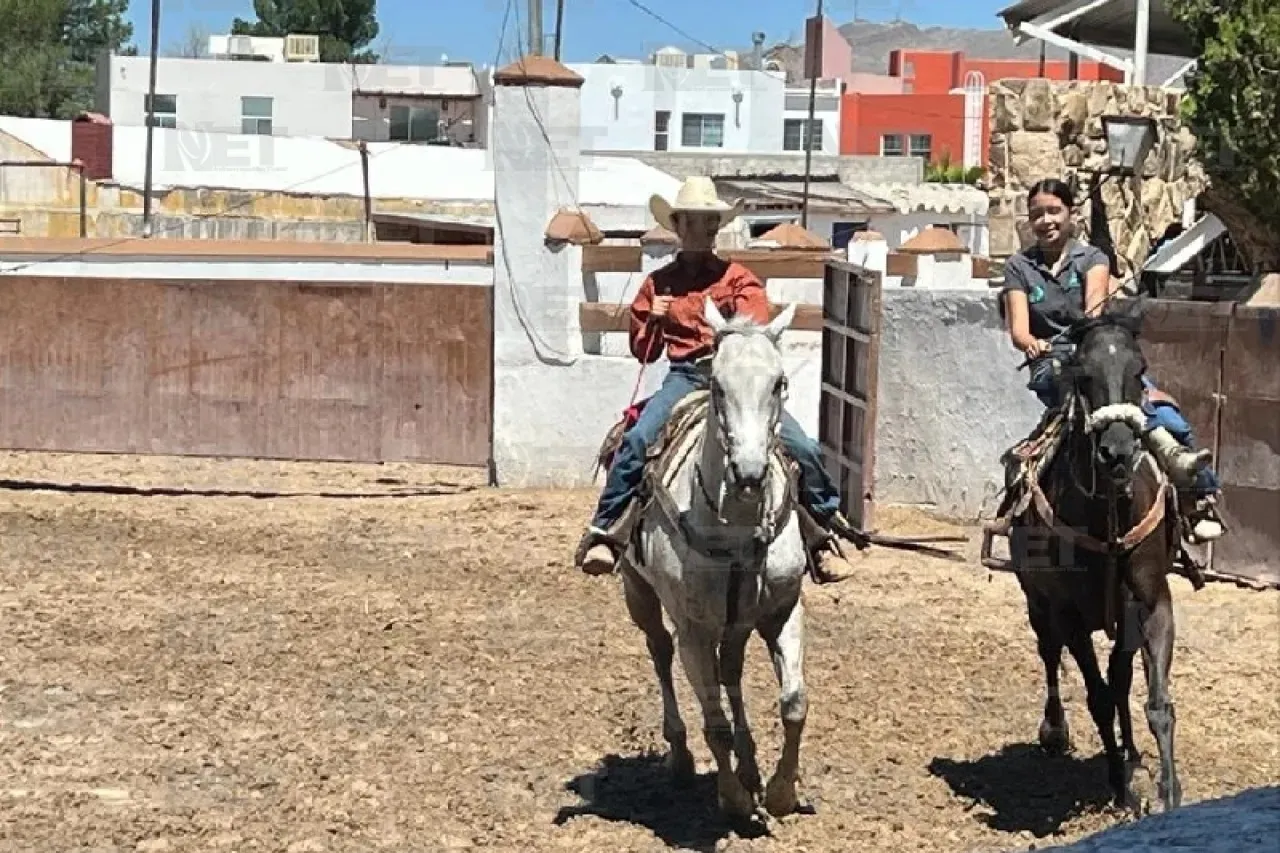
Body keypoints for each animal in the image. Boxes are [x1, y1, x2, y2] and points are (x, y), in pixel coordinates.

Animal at [616, 297, 808, 819]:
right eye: (718, 385)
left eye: (780, 382)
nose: (749, 473)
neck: (737, 523)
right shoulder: (694, 629)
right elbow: (714, 722)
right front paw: (734, 798)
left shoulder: (783, 612)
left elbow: (794, 704)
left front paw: (781, 792)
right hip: (638, 592)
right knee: (660, 652)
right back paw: (682, 757)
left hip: (737, 623)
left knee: (732, 672)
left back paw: (751, 764)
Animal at [998, 298, 1187, 809]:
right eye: (1082, 373)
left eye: (1139, 369)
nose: (1117, 451)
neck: (1108, 520)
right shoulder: (1067, 614)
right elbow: (1097, 696)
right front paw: (1120, 787)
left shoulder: (1151, 602)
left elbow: (1155, 701)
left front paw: (1167, 791)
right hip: (1036, 604)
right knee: (1049, 655)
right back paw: (1056, 731)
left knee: (1121, 676)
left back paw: (1132, 752)